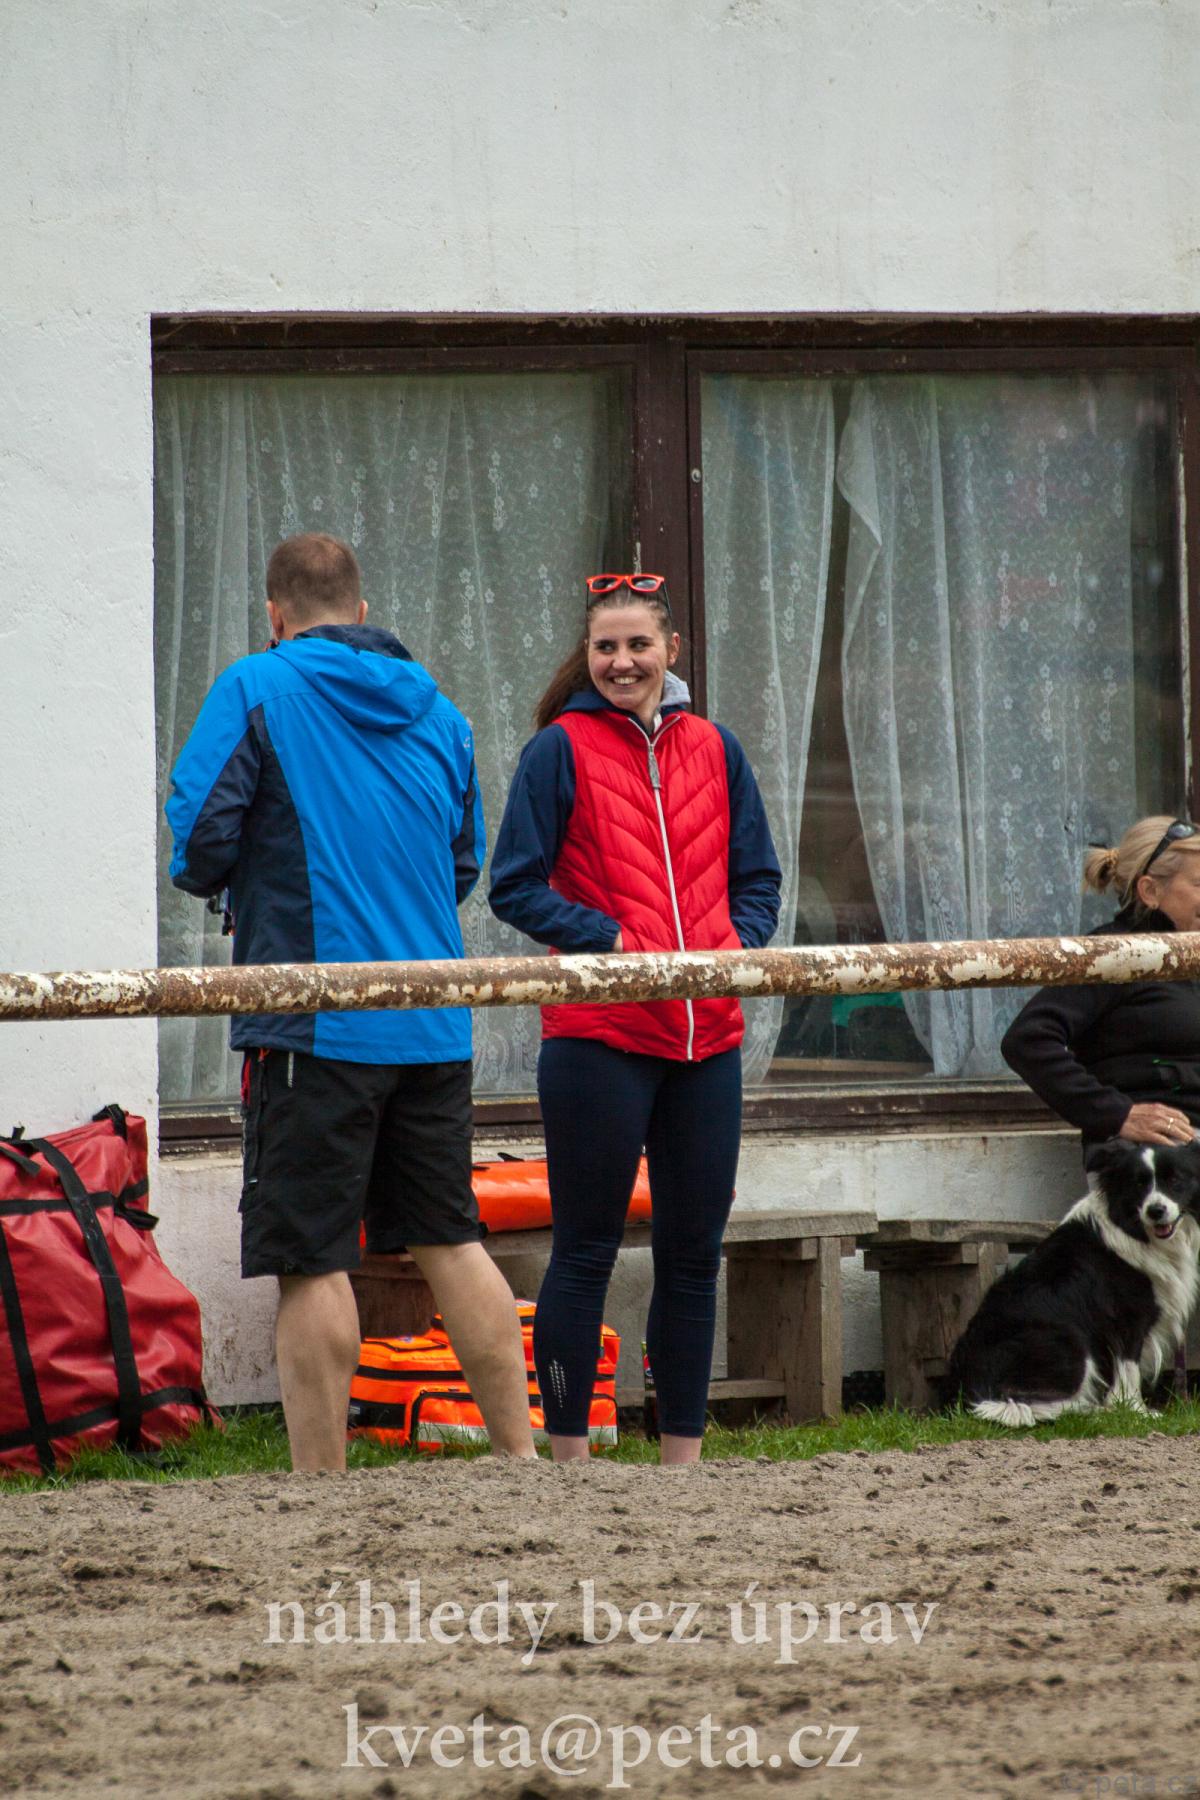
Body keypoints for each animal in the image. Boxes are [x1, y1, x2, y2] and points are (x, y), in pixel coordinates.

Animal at [945, 1138, 1200, 1427]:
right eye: (1138, 1184)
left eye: (1175, 1179)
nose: (1156, 1211)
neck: (1135, 1230)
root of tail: (973, 1387)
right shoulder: (1126, 1317)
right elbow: (1128, 1367)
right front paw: (1135, 1412)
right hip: (1069, 1340)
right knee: (1022, 1403)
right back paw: (1090, 1411)